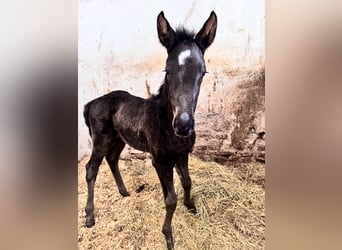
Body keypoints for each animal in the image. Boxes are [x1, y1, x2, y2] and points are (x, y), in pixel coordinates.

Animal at [83, 10, 216, 249]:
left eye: (203, 72)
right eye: (167, 70)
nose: (183, 125)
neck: (167, 124)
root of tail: (92, 103)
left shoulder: (182, 154)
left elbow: (187, 181)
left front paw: (190, 206)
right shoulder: (160, 161)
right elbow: (170, 199)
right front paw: (168, 236)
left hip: (119, 139)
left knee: (112, 160)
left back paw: (124, 192)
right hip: (100, 140)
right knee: (91, 168)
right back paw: (89, 216)